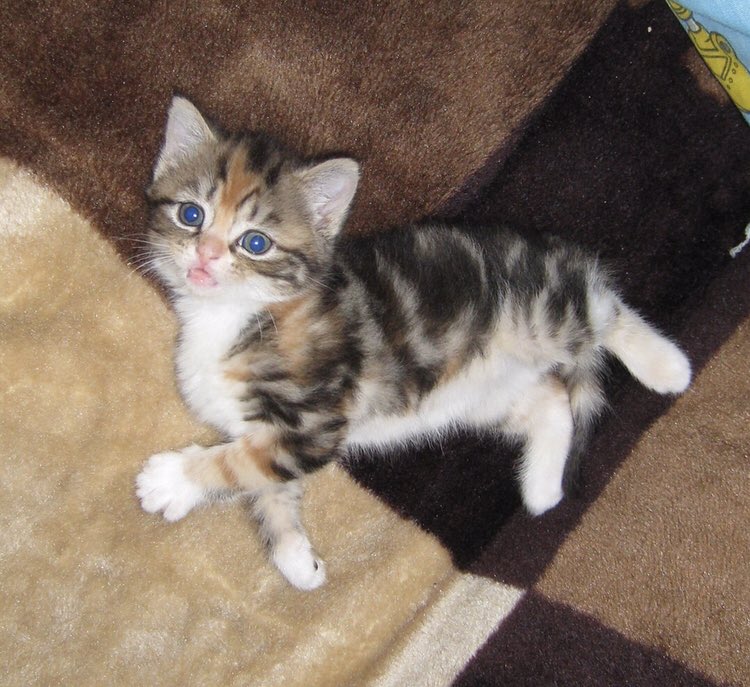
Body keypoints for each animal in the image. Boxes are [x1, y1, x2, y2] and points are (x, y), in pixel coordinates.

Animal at [137, 97, 692, 592]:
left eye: (255, 243)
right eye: (191, 215)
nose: (206, 256)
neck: (234, 317)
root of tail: (554, 249)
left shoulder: (313, 422)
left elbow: (240, 463)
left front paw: (172, 481)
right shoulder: (261, 428)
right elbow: (265, 482)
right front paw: (297, 560)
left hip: (545, 313)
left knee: (605, 306)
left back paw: (667, 365)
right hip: (484, 396)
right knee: (552, 401)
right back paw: (541, 489)